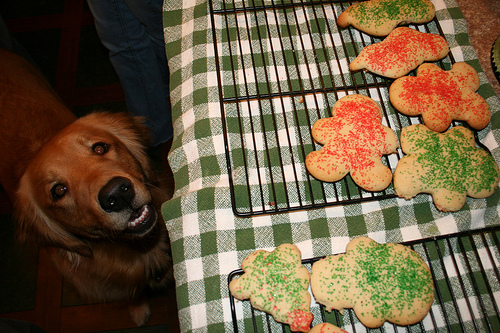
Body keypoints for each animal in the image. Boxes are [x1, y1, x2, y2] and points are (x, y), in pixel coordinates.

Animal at [0, 48, 174, 324]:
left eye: (100, 148)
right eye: (58, 191)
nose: (116, 194)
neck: (139, 252)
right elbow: (132, 294)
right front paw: (138, 309)